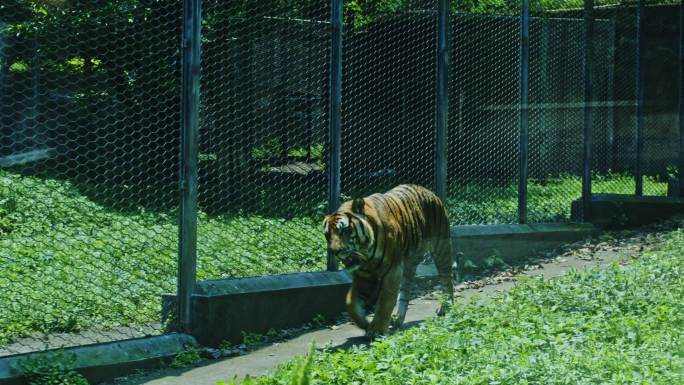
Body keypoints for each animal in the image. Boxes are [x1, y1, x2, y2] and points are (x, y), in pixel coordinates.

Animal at [324, 184, 456, 338]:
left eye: (344, 230)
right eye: (327, 235)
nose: (334, 251)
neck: (365, 253)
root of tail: (430, 192)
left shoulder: (392, 269)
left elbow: (385, 300)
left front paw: (376, 330)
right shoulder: (364, 275)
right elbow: (350, 302)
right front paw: (364, 323)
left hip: (441, 249)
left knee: (447, 281)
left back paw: (446, 307)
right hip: (408, 264)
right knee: (405, 292)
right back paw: (398, 319)